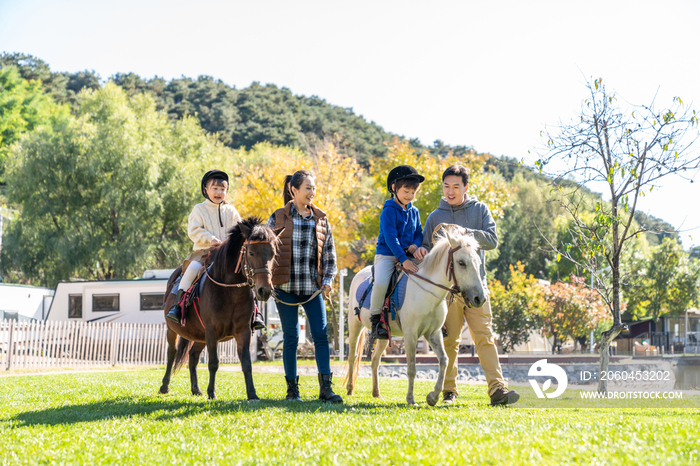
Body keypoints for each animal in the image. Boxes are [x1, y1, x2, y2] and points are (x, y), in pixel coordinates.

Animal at [160, 217, 278, 398]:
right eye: (251, 252)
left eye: (273, 254)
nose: (264, 290)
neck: (230, 291)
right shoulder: (211, 330)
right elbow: (213, 363)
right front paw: (212, 393)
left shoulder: (242, 331)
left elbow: (246, 363)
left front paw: (252, 394)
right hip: (173, 330)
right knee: (171, 353)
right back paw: (165, 386)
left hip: (200, 335)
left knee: (193, 356)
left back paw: (196, 389)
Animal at [344, 230, 486, 408]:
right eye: (461, 263)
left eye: (478, 263)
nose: (480, 298)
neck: (428, 292)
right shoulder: (411, 334)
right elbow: (412, 367)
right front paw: (411, 399)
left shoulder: (433, 333)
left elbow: (444, 361)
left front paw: (433, 397)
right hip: (354, 326)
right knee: (353, 356)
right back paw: (350, 389)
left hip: (384, 335)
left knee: (375, 359)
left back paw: (376, 393)